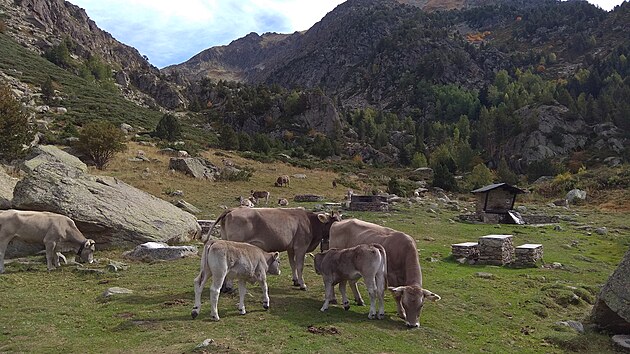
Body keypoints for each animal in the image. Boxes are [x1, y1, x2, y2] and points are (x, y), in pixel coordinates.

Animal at [206, 207, 344, 290]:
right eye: (335, 220)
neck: (310, 222)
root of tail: (232, 209)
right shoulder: (301, 247)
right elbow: (300, 266)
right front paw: (302, 284)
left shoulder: (290, 248)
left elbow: (293, 264)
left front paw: (295, 280)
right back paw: (229, 287)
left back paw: (224, 287)